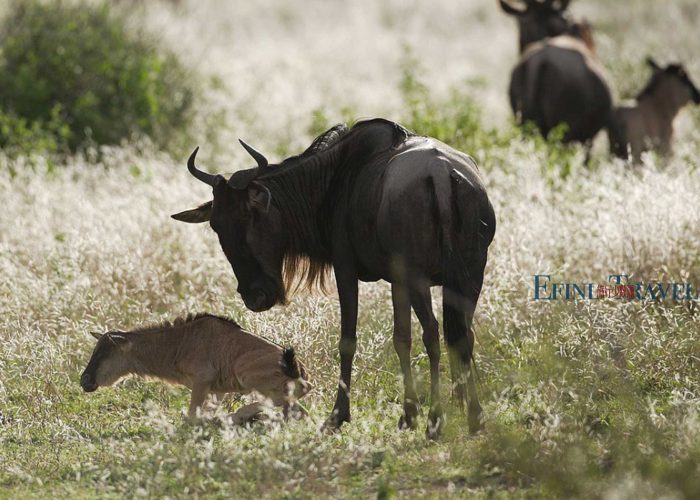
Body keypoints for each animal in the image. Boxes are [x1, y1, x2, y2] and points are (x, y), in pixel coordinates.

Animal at [80, 314, 312, 420]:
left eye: (104, 353)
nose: (84, 380)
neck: (179, 342)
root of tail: (298, 368)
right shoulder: (217, 390)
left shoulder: (202, 380)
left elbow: (192, 417)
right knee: (300, 407)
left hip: (244, 371)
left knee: (293, 394)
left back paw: (239, 416)